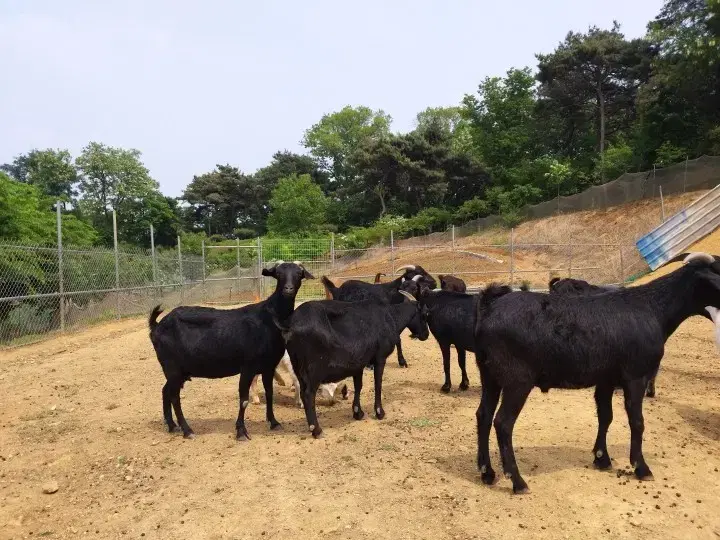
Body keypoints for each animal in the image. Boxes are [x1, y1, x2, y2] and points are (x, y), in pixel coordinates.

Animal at [148, 260, 314, 438]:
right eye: (279, 274)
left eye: (298, 274)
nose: (288, 289)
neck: (269, 319)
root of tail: (156, 326)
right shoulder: (248, 367)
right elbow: (244, 400)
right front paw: (241, 431)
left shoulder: (268, 366)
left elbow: (269, 394)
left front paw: (274, 423)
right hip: (172, 367)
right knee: (174, 396)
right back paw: (187, 430)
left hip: (178, 371)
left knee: (165, 391)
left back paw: (172, 426)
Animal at [280, 288, 428, 436]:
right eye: (424, 314)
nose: (426, 335)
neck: (390, 317)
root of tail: (291, 327)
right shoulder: (380, 358)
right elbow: (378, 384)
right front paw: (379, 412)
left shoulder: (359, 363)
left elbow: (358, 386)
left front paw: (358, 413)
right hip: (313, 369)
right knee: (308, 394)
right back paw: (316, 429)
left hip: (298, 367)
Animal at [476, 253, 720, 494]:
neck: (653, 309)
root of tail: (489, 309)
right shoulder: (636, 376)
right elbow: (637, 421)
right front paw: (641, 467)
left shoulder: (606, 379)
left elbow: (606, 416)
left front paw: (601, 458)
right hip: (517, 380)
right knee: (503, 423)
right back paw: (518, 481)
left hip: (489, 376)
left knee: (483, 416)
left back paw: (487, 472)